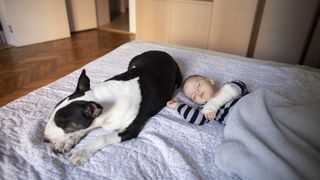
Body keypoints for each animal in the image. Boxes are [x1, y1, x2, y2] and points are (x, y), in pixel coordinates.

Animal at [43, 50, 181, 165]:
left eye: (61, 121)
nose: (44, 139)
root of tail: (161, 51)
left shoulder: (130, 130)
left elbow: (102, 137)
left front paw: (81, 153)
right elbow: (81, 130)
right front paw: (65, 141)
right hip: (133, 62)